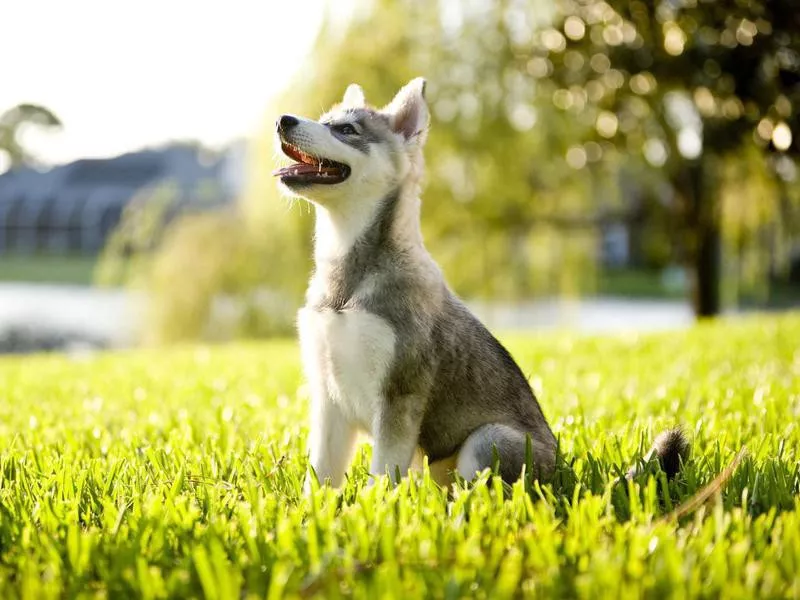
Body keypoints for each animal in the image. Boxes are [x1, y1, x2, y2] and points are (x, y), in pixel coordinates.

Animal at [276, 77, 688, 490]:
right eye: (325, 120)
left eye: (347, 129)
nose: (283, 120)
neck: (347, 278)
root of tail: (567, 477)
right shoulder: (328, 400)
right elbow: (320, 477)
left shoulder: (398, 398)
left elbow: (383, 477)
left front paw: (375, 505)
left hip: (488, 439)